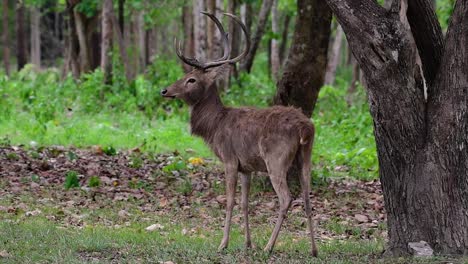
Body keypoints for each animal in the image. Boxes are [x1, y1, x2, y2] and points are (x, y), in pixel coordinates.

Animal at [161, 12, 318, 258]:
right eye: (186, 74)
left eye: (191, 79)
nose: (165, 90)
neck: (214, 126)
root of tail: (305, 127)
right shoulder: (247, 167)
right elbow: (245, 203)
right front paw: (247, 243)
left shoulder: (230, 159)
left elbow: (230, 201)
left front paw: (223, 243)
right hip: (305, 156)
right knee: (308, 196)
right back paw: (313, 249)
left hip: (276, 158)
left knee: (286, 198)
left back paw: (269, 247)